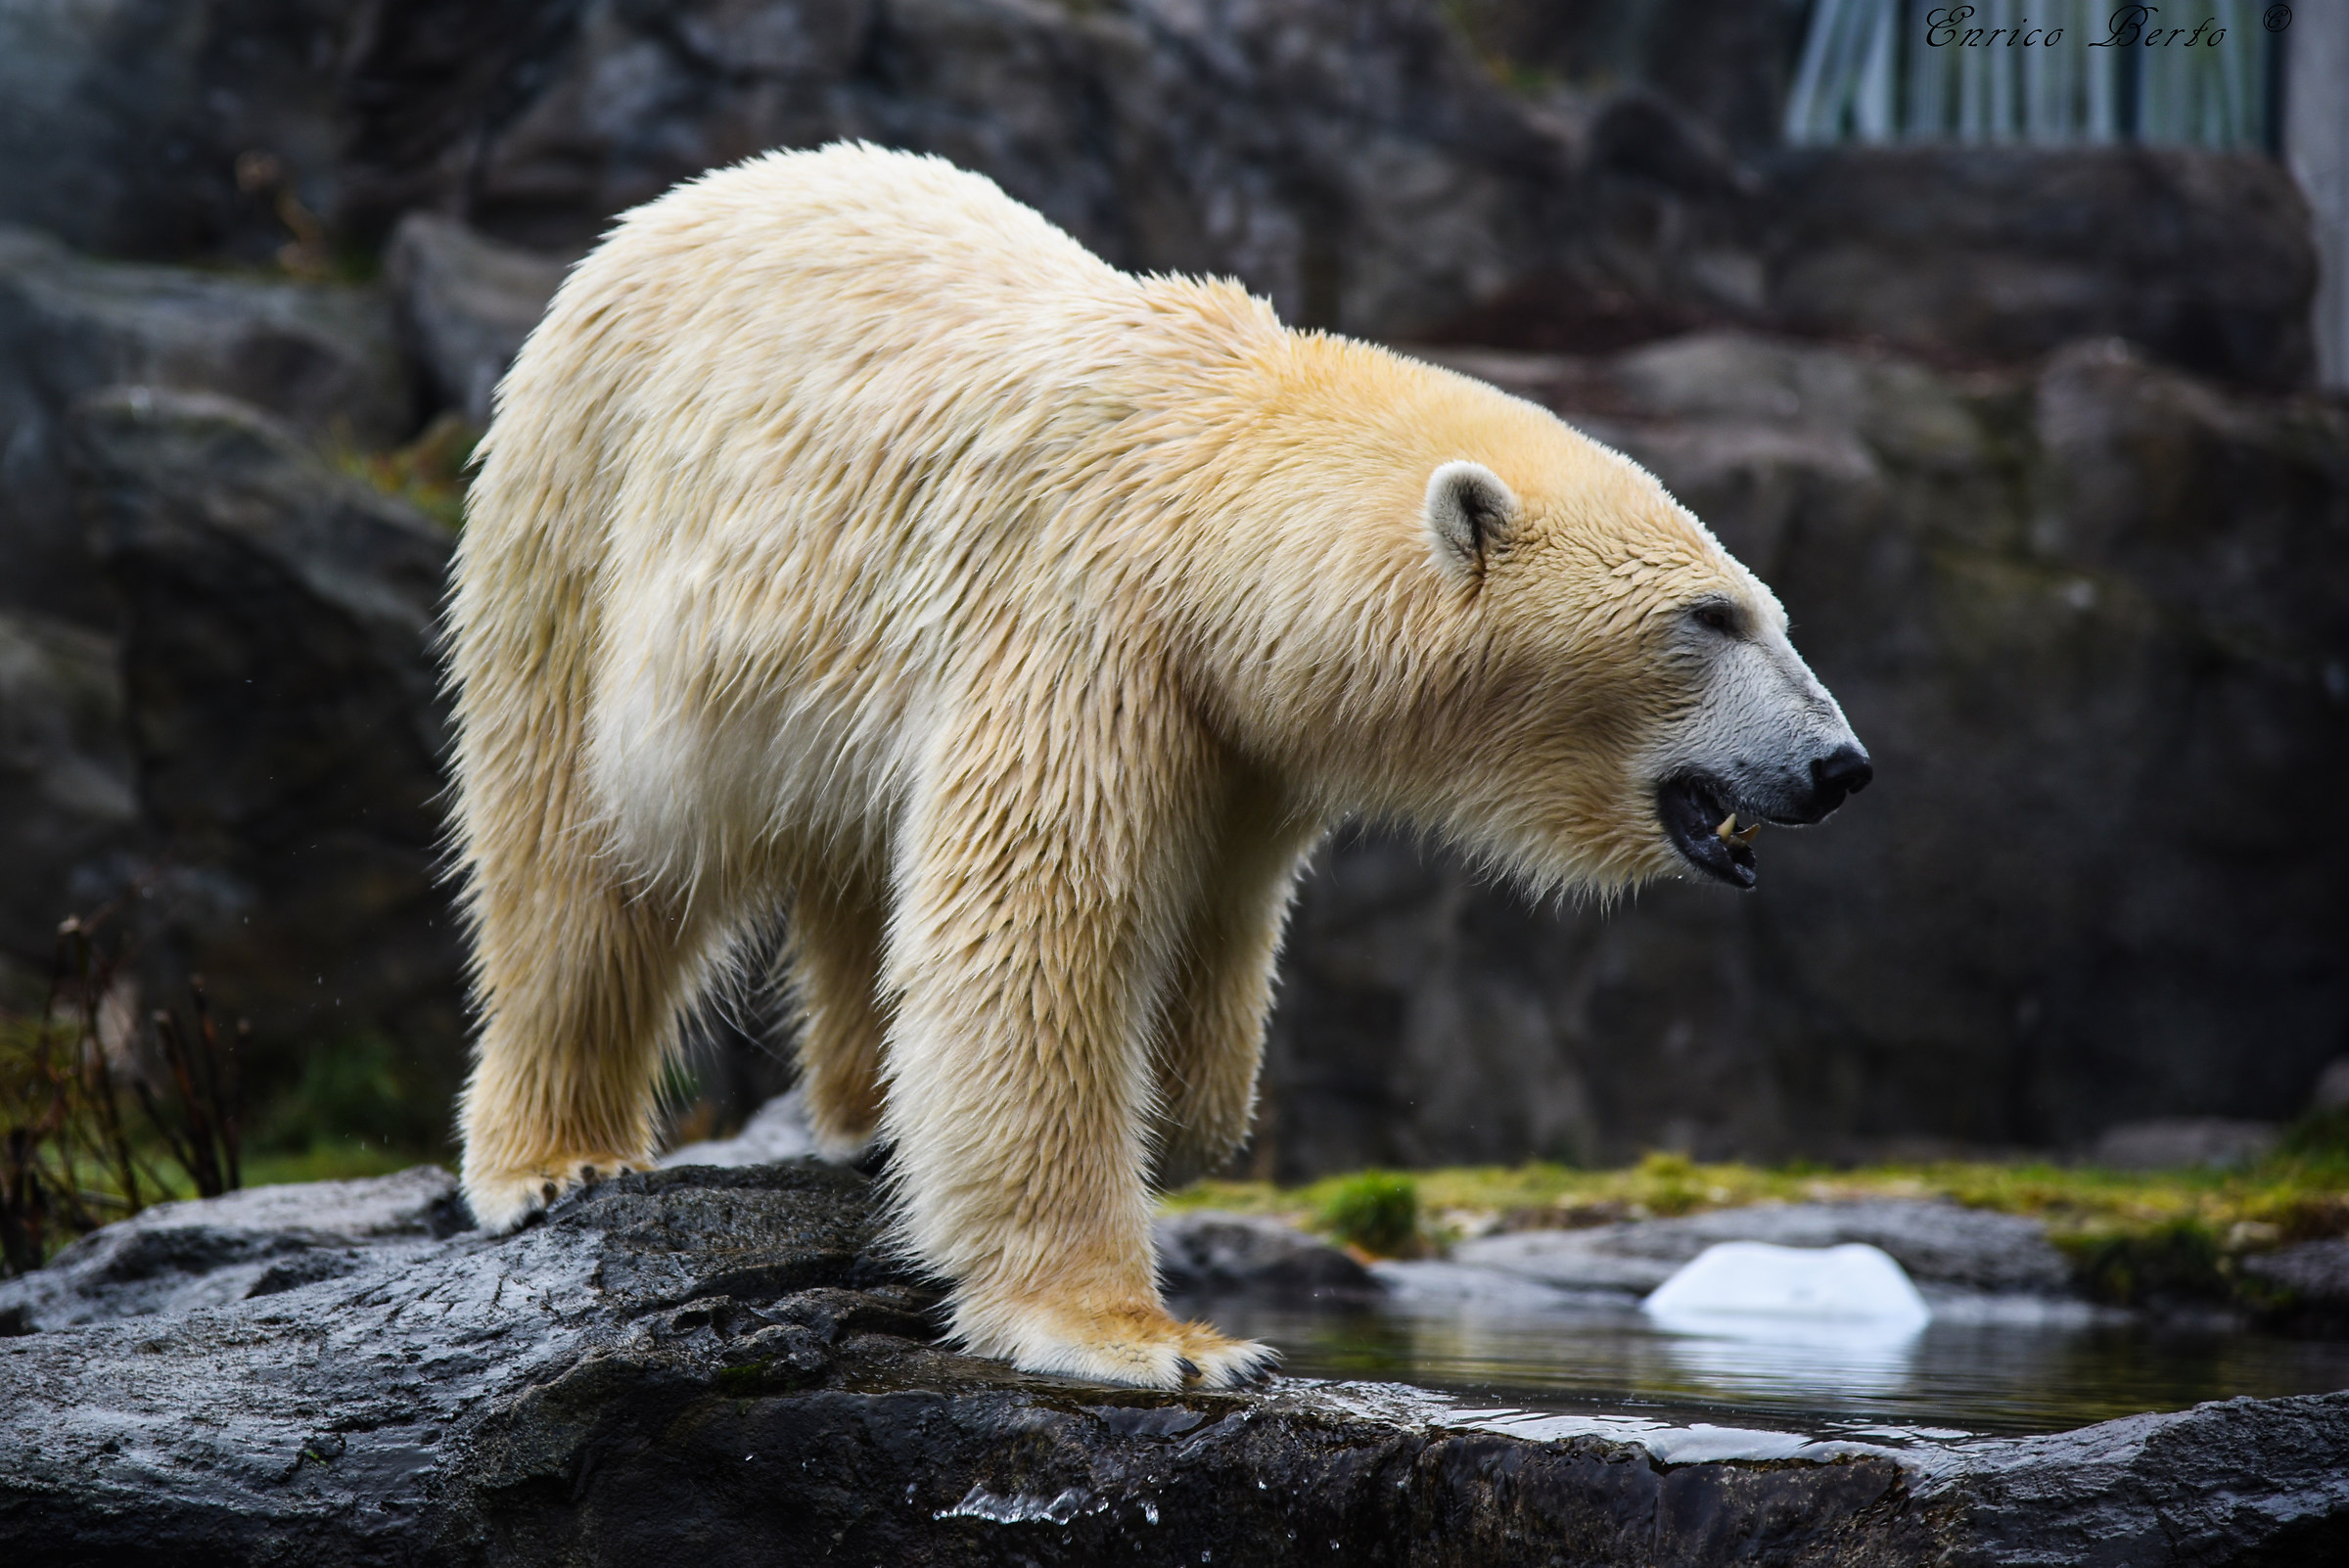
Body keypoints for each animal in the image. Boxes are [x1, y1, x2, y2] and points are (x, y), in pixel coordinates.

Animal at [446, 143, 1870, 1389]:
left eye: (1766, 607)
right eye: (1709, 617)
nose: (1840, 764)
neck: (1203, 490)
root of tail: (675, 206)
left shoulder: (1239, 735)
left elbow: (1208, 922)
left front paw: (1182, 1114)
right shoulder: (1078, 626)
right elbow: (1037, 933)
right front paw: (1145, 1336)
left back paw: (862, 1113)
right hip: (582, 515)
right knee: (570, 854)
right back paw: (557, 1155)